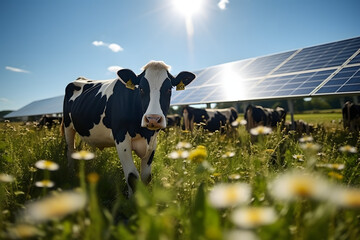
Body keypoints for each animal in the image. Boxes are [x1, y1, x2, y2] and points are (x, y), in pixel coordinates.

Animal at [63, 60, 195, 195]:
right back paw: (71, 174)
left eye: (169, 89)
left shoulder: (153, 141)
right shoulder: (121, 136)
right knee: (70, 149)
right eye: (141, 88)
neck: (144, 133)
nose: (153, 119)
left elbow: (146, 177)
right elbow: (132, 176)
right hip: (68, 126)